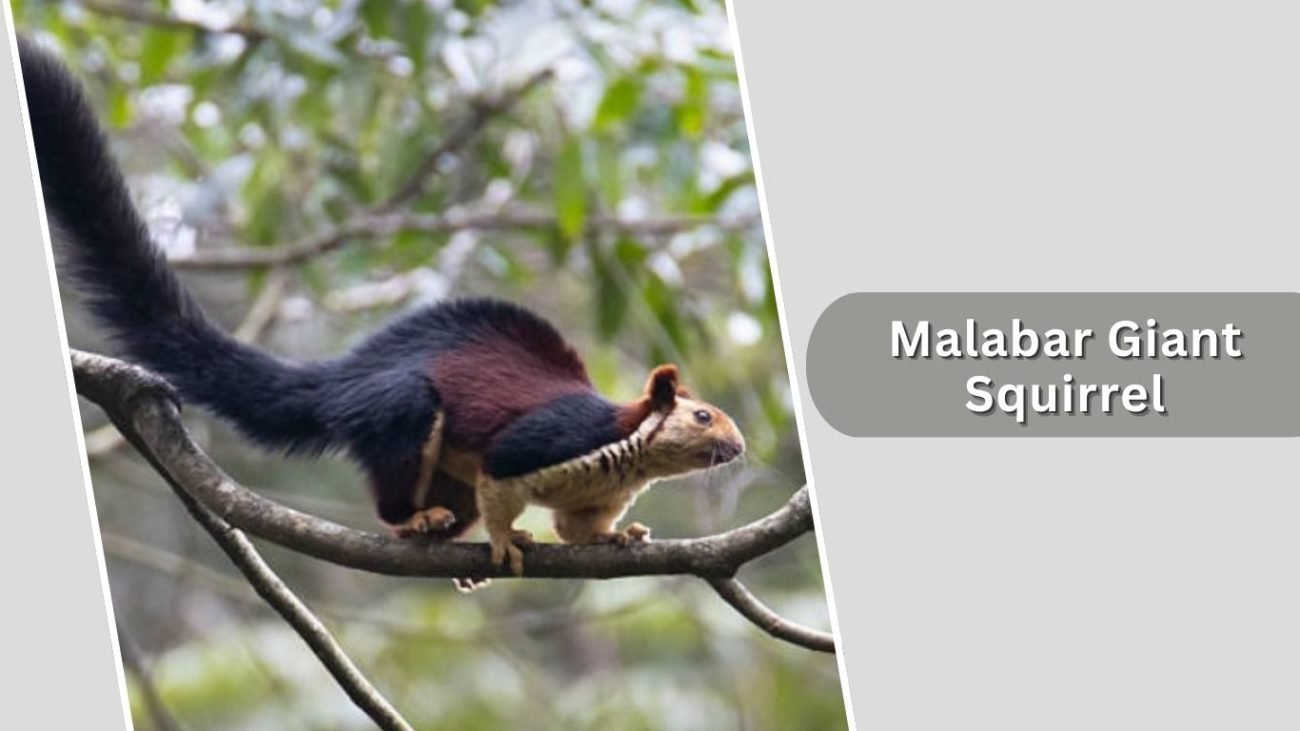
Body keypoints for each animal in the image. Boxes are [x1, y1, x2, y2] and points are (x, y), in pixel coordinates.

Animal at [18, 37, 746, 579]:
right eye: (702, 414)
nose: (738, 447)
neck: (632, 451)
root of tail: (343, 378)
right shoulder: (550, 440)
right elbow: (505, 482)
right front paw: (507, 541)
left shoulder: (592, 497)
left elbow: (578, 528)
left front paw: (620, 538)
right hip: (399, 407)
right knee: (401, 479)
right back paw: (414, 521)